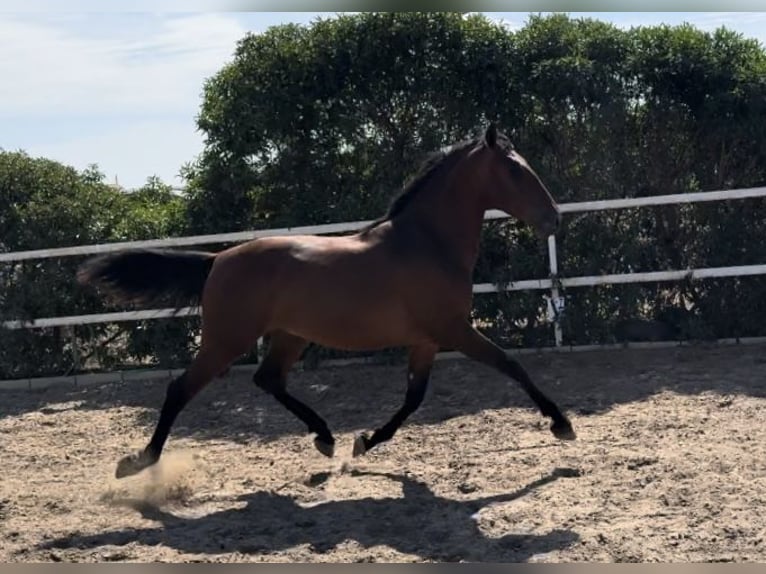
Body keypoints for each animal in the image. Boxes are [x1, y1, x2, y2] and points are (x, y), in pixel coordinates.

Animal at [78, 126, 580, 482]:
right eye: (514, 171)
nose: (552, 218)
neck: (426, 243)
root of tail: (218, 259)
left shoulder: (427, 340)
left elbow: (413, 398)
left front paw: (364, 442)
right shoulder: (454, 330)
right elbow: (511, 365)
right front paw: (561, 424)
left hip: (289, 336)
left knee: (268, 379)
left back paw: (325, 438)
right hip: (226, 340)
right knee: (180, 390)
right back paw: (139, 462)